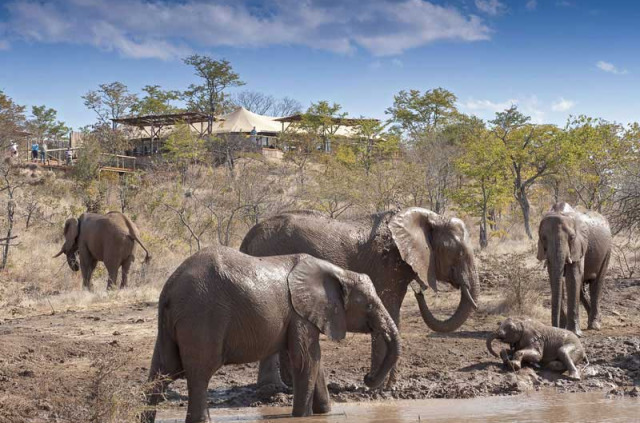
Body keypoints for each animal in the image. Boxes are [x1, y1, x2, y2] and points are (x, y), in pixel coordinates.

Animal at [142, 245, 398, 423]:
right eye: (368, 305)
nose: (367, 378)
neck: (338, 272)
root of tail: (170, 288)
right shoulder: (299, 314)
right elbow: (306, 360)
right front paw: (303, 416)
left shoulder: (302, 315)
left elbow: (315, 361)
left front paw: (324, 413)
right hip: (201, 316)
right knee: (200, 373)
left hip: (173, 323)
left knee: (162, 371)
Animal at [241, 207, 480, 390]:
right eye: (458, 253)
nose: (419, 291)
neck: (429, 216)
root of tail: (248, 238)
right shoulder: (386, 266)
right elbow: (389, 310)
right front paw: (381, 388)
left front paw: (386, 387)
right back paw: (273, 390)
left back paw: (285, 387)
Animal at [536, 204, 612, 336]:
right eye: (543, 238)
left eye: (571, 237)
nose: (555, 327)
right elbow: (555, 276)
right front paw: (562, 329)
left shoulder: (579, 244)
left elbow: (574, 276)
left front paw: (575, 333)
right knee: (582, 290)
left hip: (607, 250)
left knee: (596, 284)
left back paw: (595, 325)